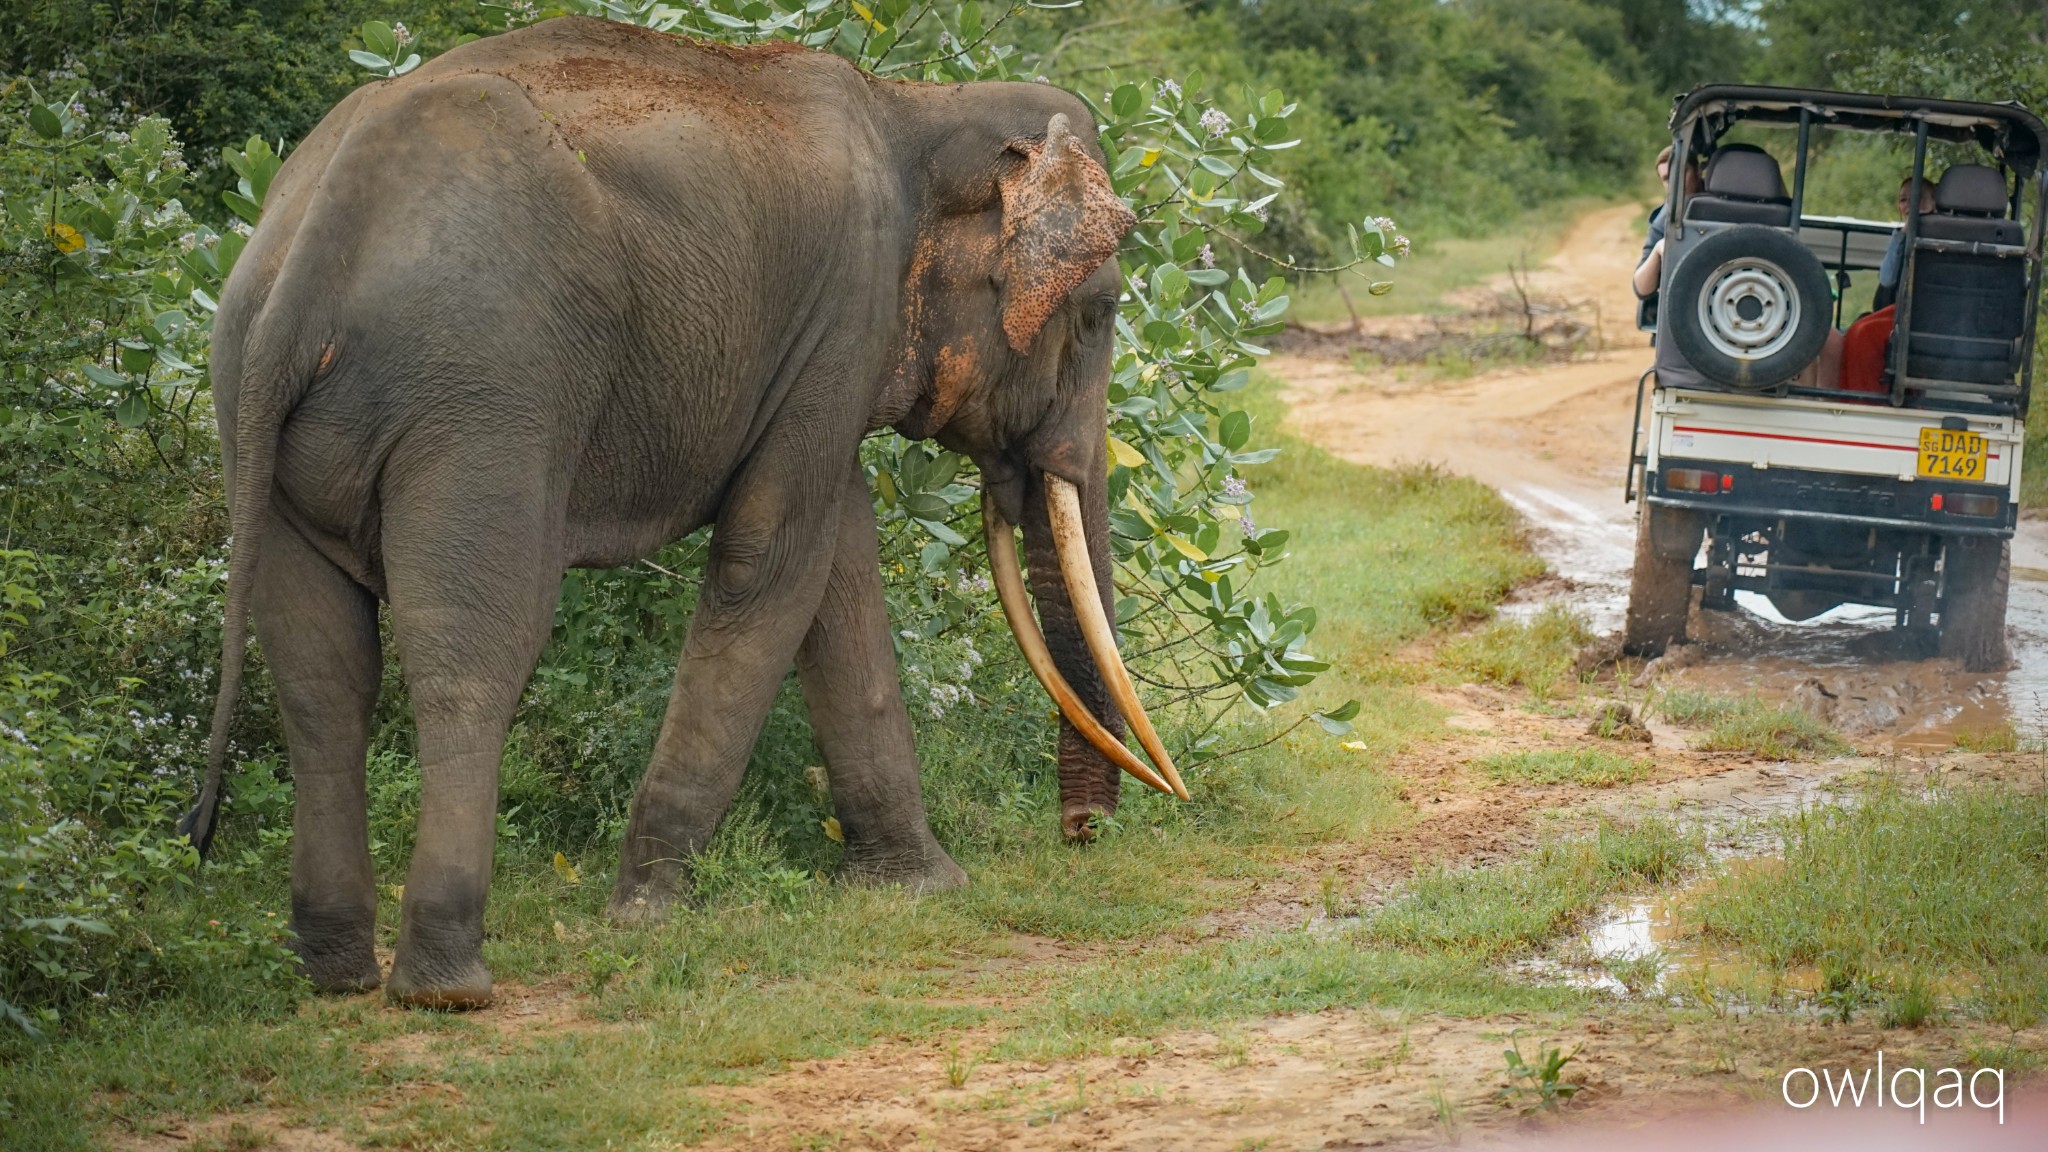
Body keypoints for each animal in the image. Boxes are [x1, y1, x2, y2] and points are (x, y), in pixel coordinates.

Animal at [186, 15, 1196, 1004]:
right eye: (1101, 314)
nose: (1081, 834)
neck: (918, 108)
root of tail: (314, 247)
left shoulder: (826, 348)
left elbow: (835, 566)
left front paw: (923, 889)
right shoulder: (847, 310)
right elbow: (772, 559)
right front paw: (649, 913)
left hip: (259, 420)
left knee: (319, 675)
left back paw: (336, 972)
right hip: (482, 400)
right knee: (472, 655)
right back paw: (448, 986)